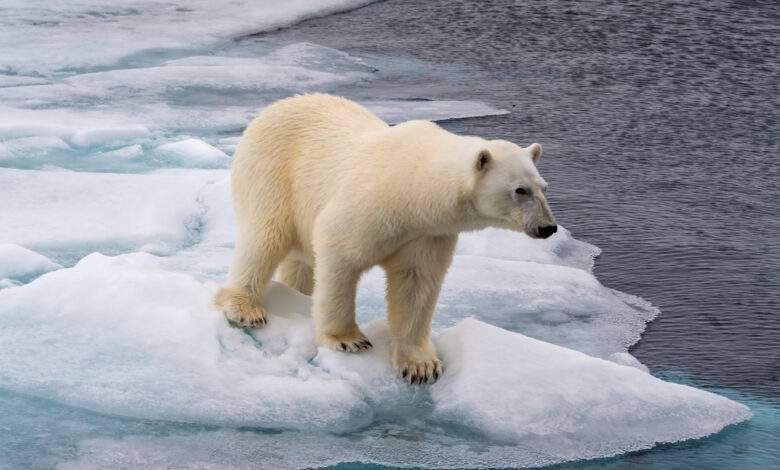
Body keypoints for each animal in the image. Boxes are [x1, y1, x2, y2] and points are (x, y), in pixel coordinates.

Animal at [213, 93, 556, 384]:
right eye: (519, 190)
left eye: (543, 187)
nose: (548, 227)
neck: (414, 190)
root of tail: (273, 107)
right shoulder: (370, 205)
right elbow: (338, 254)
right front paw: (348, 340)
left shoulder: (428, 233)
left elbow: (416, 283)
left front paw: (420, 365)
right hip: (272, 173)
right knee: (265, 236)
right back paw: (245, 308)